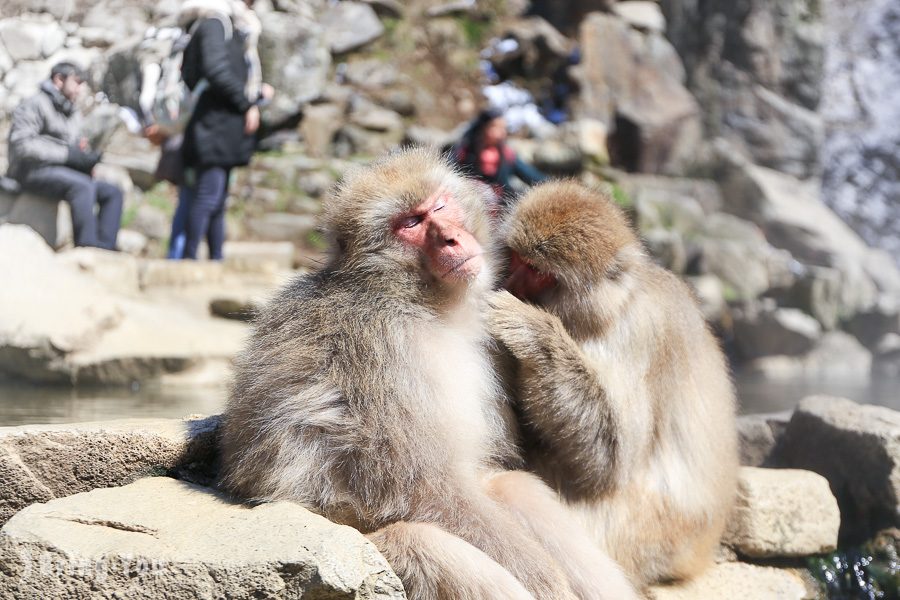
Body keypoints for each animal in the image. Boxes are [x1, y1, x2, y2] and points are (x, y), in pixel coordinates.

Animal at [221, 149, 636, 600]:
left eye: (438, 207)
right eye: (410, 224)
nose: (451, 238)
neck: (422, 305)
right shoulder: (376, 348)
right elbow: (421, 486)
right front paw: (548, 582)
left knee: (513, 487)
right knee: (420, 542)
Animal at [492, 180, 740, 588]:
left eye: (537, 271)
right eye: (514, 258)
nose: (509, 282)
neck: (613, 305)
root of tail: (697, 554)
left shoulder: (634, 335)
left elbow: (612, 460)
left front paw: (534, 331)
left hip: (636, 536)